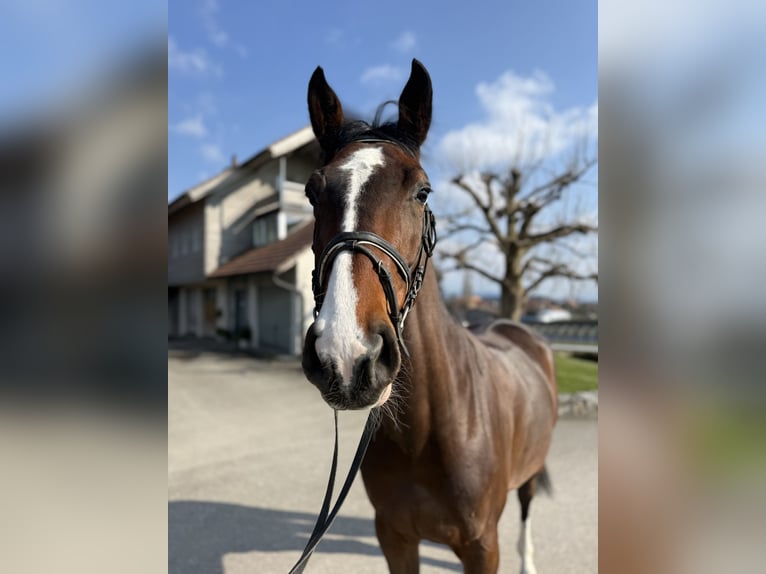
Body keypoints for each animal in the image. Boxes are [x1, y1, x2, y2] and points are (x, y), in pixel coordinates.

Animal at [301, 59, 558, 574]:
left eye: (422, 191)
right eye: (311, 192)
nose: (347, 355)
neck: (429, 430)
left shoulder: (482, 547)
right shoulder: (396, 537)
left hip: (530, 472)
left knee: (526, 510)